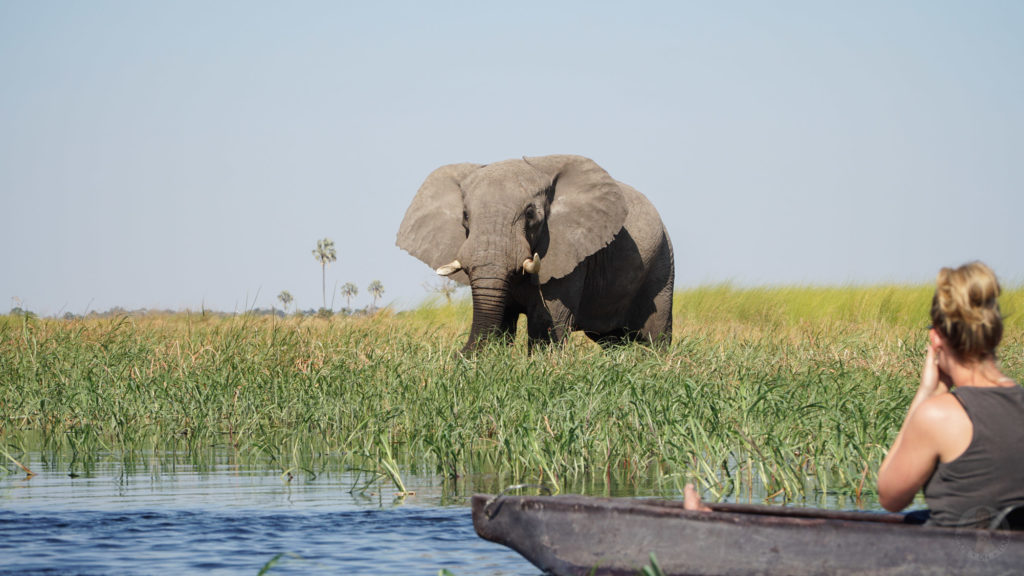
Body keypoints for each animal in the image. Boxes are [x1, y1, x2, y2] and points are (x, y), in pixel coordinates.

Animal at [395, 153, 675, 350]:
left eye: (530, 214)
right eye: (465, 215)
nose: (457, 355)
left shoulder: (569, 253)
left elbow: (544, 321)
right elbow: (501, 320)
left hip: (663, 263)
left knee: (656, 336)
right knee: (612, 341)